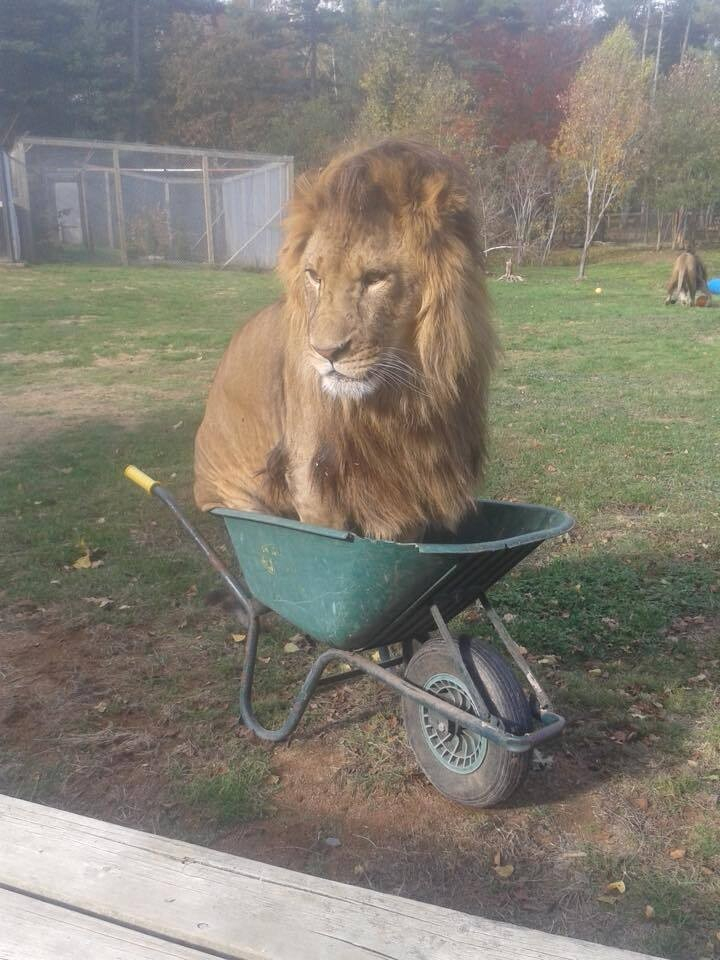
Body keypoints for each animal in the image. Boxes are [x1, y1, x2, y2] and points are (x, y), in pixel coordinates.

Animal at [194, 143, 498, 548]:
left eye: (375, 278)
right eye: (314, 276)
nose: (325, 353)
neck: (395, 402)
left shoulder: (407, 489)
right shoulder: (313, 479)